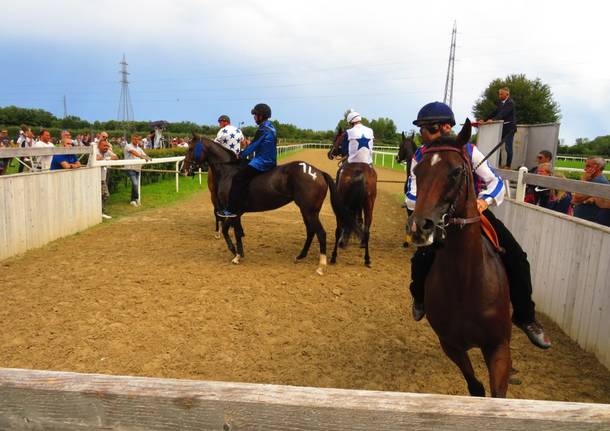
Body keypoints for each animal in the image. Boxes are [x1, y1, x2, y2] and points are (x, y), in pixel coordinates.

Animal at [180, 136, 346, 276]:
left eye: (190, 148)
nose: (183, 170)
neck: (229, 171)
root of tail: (319, 172)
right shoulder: (237, 213)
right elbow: (237, 232)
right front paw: (239, 254)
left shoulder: (232, 211)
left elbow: (229, 231)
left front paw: (235, 253)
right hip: (308, 211)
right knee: (311, 232)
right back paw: (300, 256)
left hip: (309, 211)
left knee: (321, 233)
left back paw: (321, 266)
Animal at [328, 130, 376, 268]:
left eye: (336, 138)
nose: (330, 153)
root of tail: (359, 170)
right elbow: (358, 220)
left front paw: (344, 240)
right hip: (369, 204)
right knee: (366, 230)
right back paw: (367, 259)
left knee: (339, 229)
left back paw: (334, 256)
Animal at [408, 119, 508, 398]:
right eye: (417, 172)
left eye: (455, 172)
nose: (419, 227)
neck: (466, 283)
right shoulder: (451, 344)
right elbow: (476, 387)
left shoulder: (498, 346)